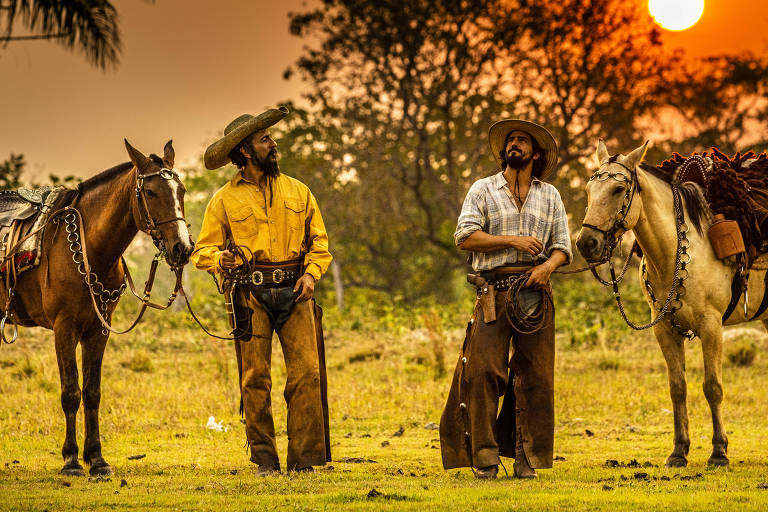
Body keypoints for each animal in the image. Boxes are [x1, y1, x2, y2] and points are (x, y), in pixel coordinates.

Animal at [0, 140, 192, 476]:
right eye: (150, 192)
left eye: (180, 190)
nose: (182, 248)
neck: (88, 247)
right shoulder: (64, 328)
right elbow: (71, 392)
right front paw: (71, 460)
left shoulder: (98, 329)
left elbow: (92, 392)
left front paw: (97, 459)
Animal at [576, 140, 768, 468]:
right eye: (589, 189)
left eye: (618, 189)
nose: (586, 243)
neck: (678, 252)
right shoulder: (664, 329)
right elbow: (677, 388)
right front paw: (679, 451)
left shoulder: (711, 327)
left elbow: (712, 387)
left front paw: (719, 452)